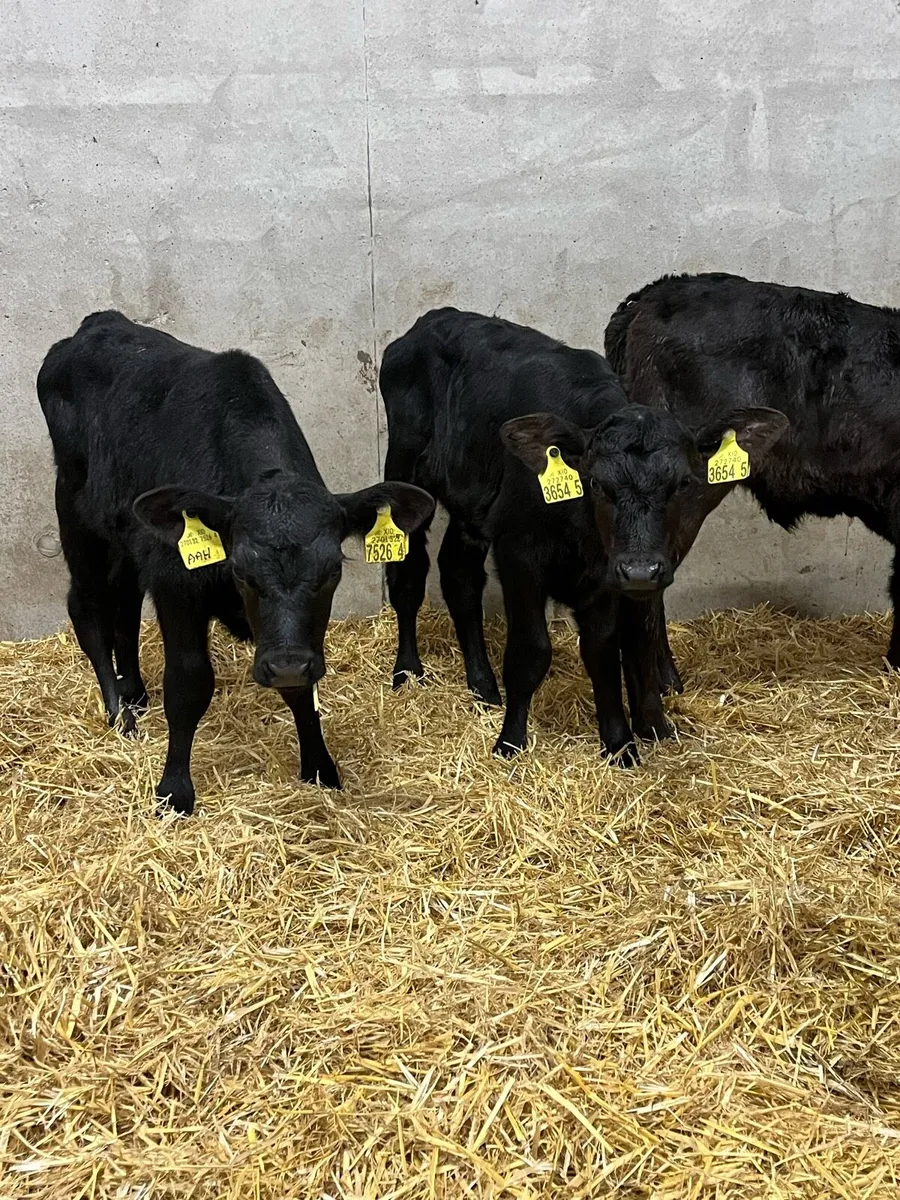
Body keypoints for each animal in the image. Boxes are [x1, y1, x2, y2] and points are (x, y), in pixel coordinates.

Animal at [37, 311, 434, 815]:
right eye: (243, 573)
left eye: (332, 574)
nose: (286, 666)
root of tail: (97, 323)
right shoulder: (176, 582)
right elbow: (188, 684)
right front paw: (174, 790)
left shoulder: (292, 642)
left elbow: (301, 689)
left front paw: (319, 767)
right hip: (77, 518)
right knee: (88, 610)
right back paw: (119, 714)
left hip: (126, 538)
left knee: (124, 610)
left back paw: (135, 695)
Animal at [379, 308, 786, 763]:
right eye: (597, 484)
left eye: (683, 483)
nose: (642, 571)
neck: (580, 532)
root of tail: (433, 319)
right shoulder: (519, 554)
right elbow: (531, 650)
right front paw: (509, 743)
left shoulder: (607, 573)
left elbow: (602, 650)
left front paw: (620, 744)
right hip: (406, 470)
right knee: (407, 576)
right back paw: (408, 671)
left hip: (472, 510)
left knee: (459, 577)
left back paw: (483, 686)